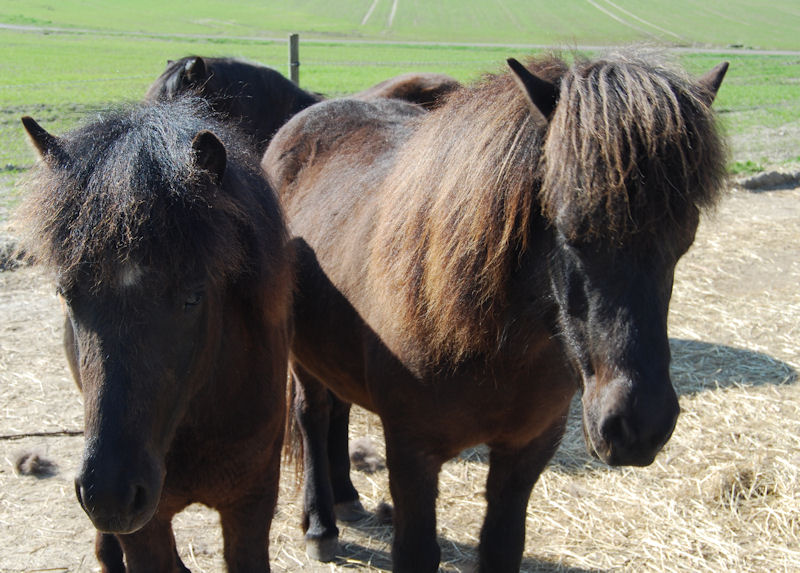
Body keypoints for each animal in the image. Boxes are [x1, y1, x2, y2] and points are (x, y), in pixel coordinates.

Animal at [264, 51, 732, 568]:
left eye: (684, 241)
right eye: (568, 230)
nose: (638, 425)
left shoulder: (527, 450)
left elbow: (502, 548)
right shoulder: (411, 453)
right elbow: (417, 551)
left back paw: (346, 498)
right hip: (301, 357)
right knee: (313, 414)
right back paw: (321, 524)